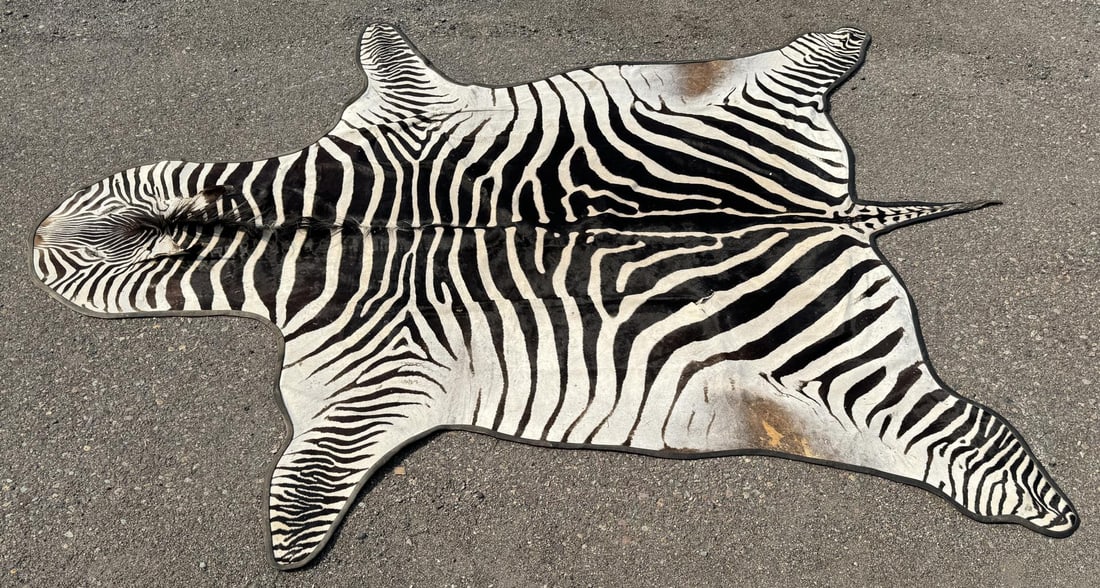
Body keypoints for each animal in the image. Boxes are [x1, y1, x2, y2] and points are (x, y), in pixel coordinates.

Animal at [32, 23, 1078, 569]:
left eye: (92, 257)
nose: (40, 240)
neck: (303, 225)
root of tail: (834, 212)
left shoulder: (362, 388)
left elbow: (308, 487)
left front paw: (294, 544)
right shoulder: (405, 116)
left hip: (833, 368)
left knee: (961, 434)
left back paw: (1048, 510)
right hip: (748, 138)